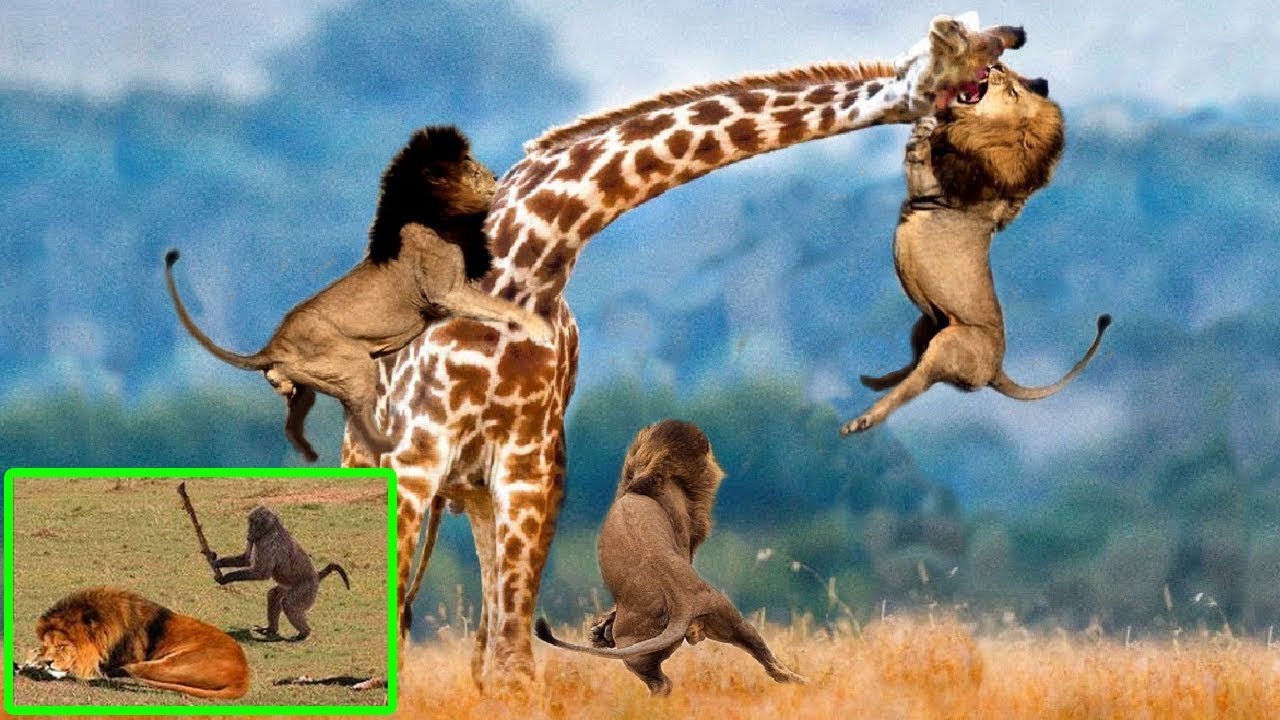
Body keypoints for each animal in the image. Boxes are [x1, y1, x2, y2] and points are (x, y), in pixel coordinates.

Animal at [26, 587, 250, 700]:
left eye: (62, 646)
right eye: (46, 645)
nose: (48, 662)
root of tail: (244, 675)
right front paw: (35, 660)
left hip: (171, 663)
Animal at [164, 126, 553, 461]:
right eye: (473, 170)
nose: (497, 177)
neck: (435, 216)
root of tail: (271, 346)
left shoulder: (458, 289)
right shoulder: (448, 292)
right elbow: (503, 307)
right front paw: (540, 328)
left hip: (306, 388)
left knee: (292, 424)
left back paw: (308, 450)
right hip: (356, 366)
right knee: (360, 422)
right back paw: (394, 444)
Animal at [535, 420, 804, 695]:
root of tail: (681, 602)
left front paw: (600, 631)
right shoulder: (686, 533)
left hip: (642, 649)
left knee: (661, 682)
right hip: (729, 620)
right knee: (762, 658)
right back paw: (799, 680)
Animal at [841, 63, 1111, 435]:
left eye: (1012, 91)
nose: (994, 67)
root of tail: (997, 370)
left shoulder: (932, 184)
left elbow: (919, 150)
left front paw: (929, 119)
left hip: (951, 340)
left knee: (915, 384)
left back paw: (863, 418)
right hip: (927, 324)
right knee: (914, 367)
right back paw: (873, 380)